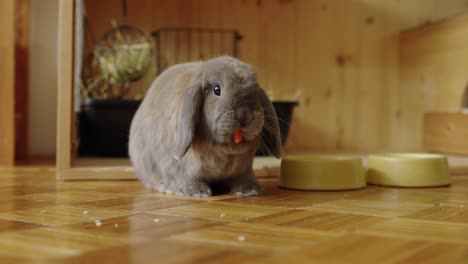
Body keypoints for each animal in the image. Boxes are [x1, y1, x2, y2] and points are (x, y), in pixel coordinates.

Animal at [128, 56, 282, 196]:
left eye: (255, 92)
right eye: (217, 89)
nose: (244, 115)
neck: (224, 151)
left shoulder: (244, 170)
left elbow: (243, 178)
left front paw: (251, 190)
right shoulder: (177, 166)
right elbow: (185, 177)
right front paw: (198, 192)